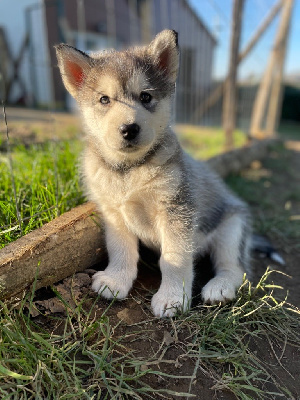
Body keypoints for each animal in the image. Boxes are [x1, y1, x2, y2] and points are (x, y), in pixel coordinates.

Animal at [55, 30, 251, 318]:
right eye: (104, 99)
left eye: (145, 97)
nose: (129, 129)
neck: (128, 170)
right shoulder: (113, 213)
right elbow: (121, 249)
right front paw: (116, 280)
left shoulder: (176, 211)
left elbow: (174, 258)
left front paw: (172, 297)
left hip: (231, 229)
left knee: (235, 268)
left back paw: (220, 287)